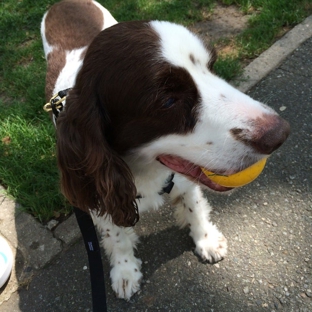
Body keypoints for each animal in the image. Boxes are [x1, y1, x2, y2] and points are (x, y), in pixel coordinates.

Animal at [41, 1, 290, 302]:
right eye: (168, 101)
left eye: (212, 67)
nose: (279, 134)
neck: (144, 171)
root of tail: (64, 3)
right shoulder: (97, 193)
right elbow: (117, 237)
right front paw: (125, 271)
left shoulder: (183, 177)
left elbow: (194, 208)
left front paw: (206, 240)